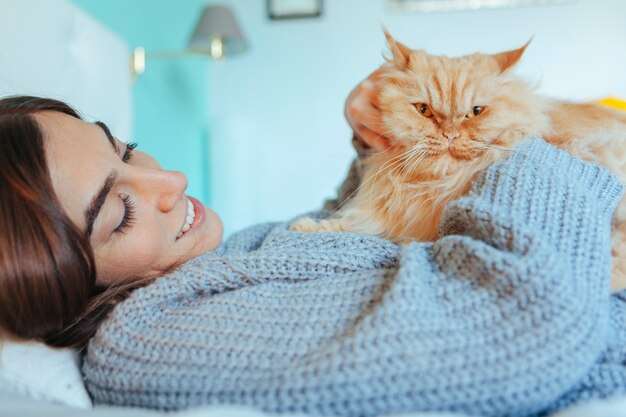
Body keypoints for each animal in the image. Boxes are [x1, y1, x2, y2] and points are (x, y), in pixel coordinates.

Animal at [292, 32, 624, 290]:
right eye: (424, 110)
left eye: (475, 112)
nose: (450, 134)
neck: (435, 189)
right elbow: (346, 225)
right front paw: (304, 228)